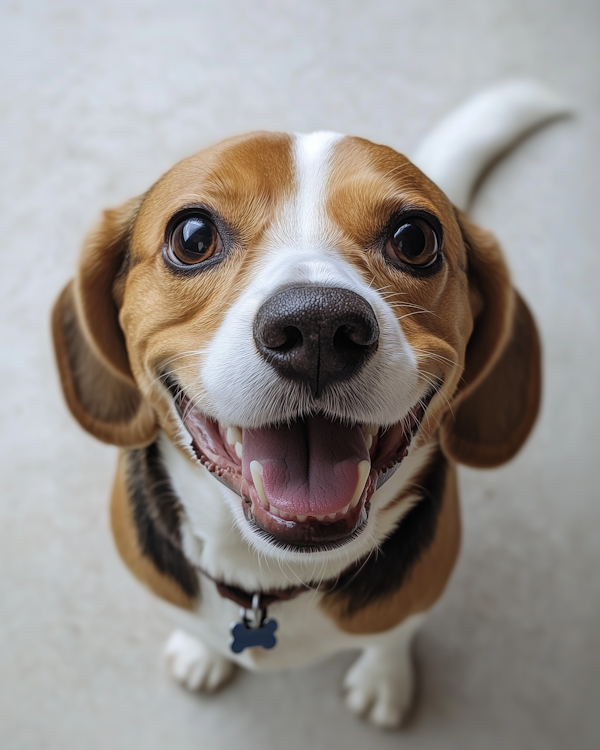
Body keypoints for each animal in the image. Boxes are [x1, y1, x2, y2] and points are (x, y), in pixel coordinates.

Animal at [52, 83, 564, 728]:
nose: (318, 326)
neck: (271, 577)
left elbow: (392, 639)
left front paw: (384, 680)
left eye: (415, 238)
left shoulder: (416, 599)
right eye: (192, 237)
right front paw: (200, 652)